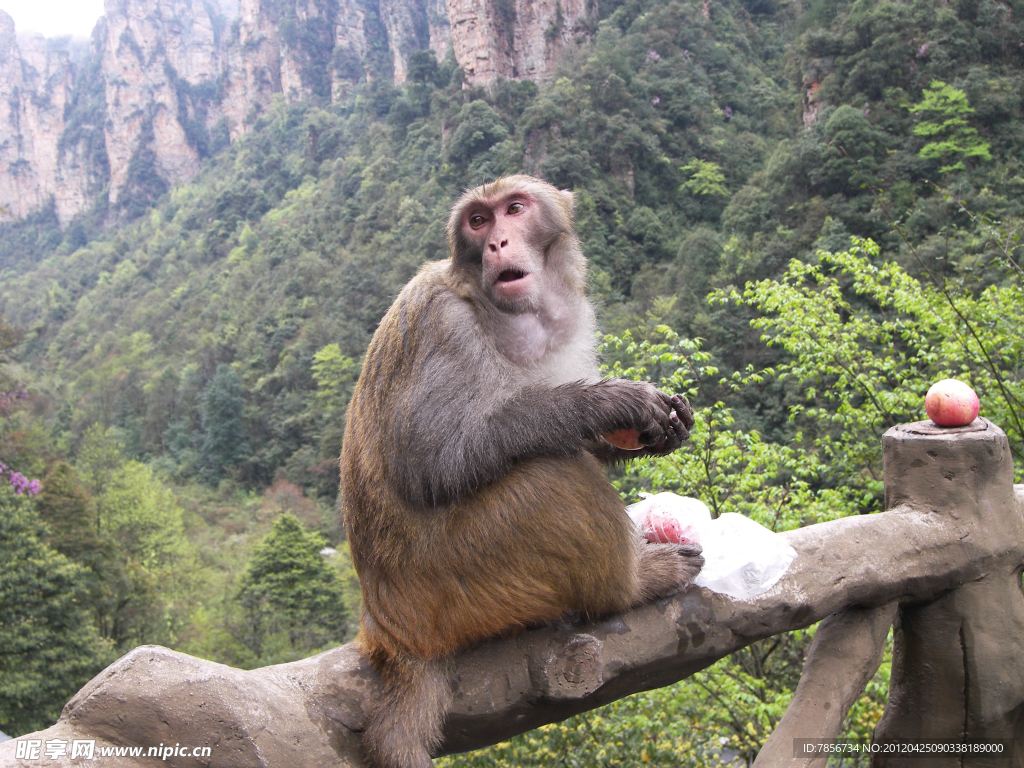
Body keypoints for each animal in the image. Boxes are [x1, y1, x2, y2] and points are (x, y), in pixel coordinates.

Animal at [344, 176, 704, 768]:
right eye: (477, 222)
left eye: (513, 209)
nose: (496, 243)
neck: (503, 315)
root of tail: (389, 633)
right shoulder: (444, 324)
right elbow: (435, 461)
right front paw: (611, 404)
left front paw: (656, 431)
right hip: (461, 585)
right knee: (552, 475)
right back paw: (633, 584)